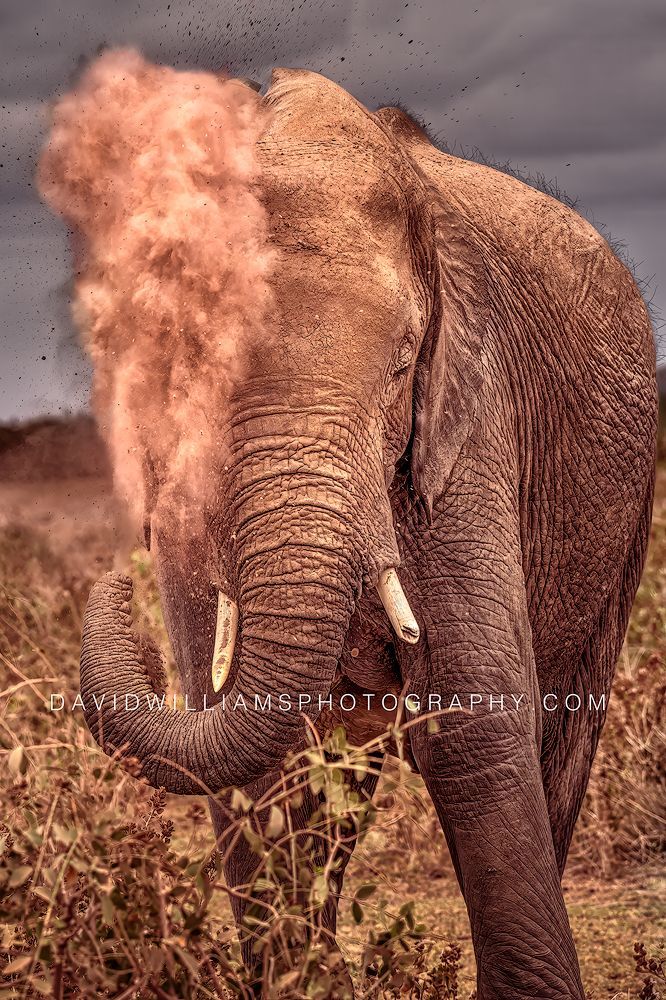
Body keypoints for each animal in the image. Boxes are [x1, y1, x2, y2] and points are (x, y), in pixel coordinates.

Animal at [77, 69, 657, 998]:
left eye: (400, 365)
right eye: (196, 374)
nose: (114, 588)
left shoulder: (466, 424)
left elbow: (475, 727)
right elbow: (262, 766)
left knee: (564, 734)